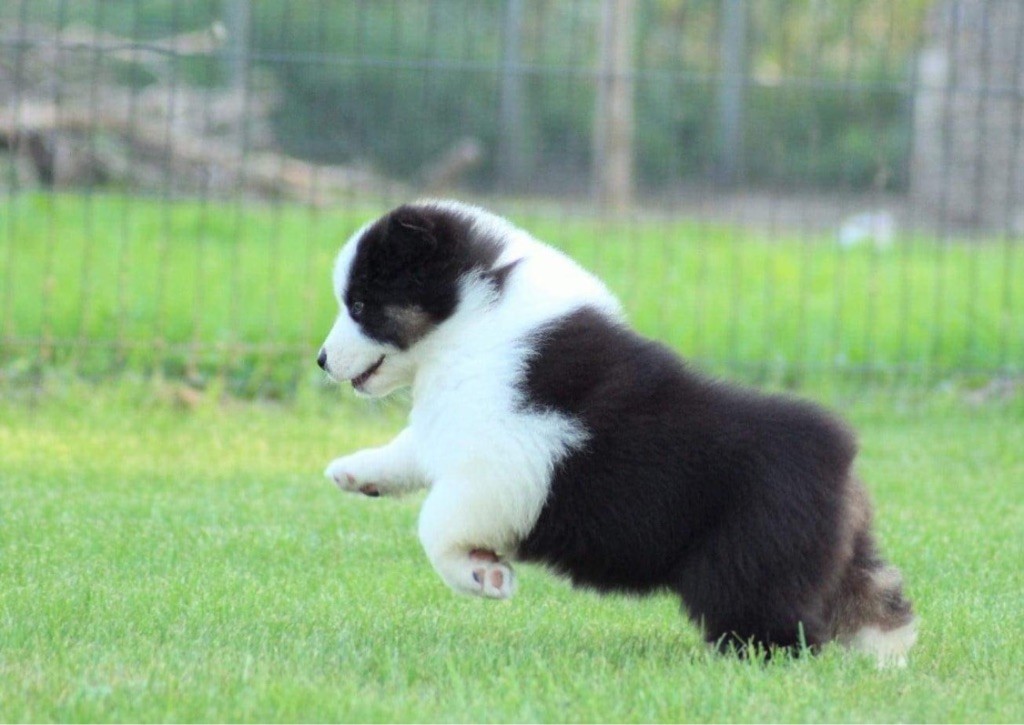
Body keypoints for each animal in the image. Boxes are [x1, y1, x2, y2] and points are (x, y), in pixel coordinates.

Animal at [318, 200, 917, 664]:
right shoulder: (456, 425)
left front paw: (483, 577)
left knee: (779, 636)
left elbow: (435, 521)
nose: (322, 360)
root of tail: (840, 458)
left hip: (749, 566)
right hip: (829, 557)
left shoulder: (507, 459)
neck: (472, 319)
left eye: (362, 305)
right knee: (879, 606)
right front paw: (354, 472)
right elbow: (412, 448)